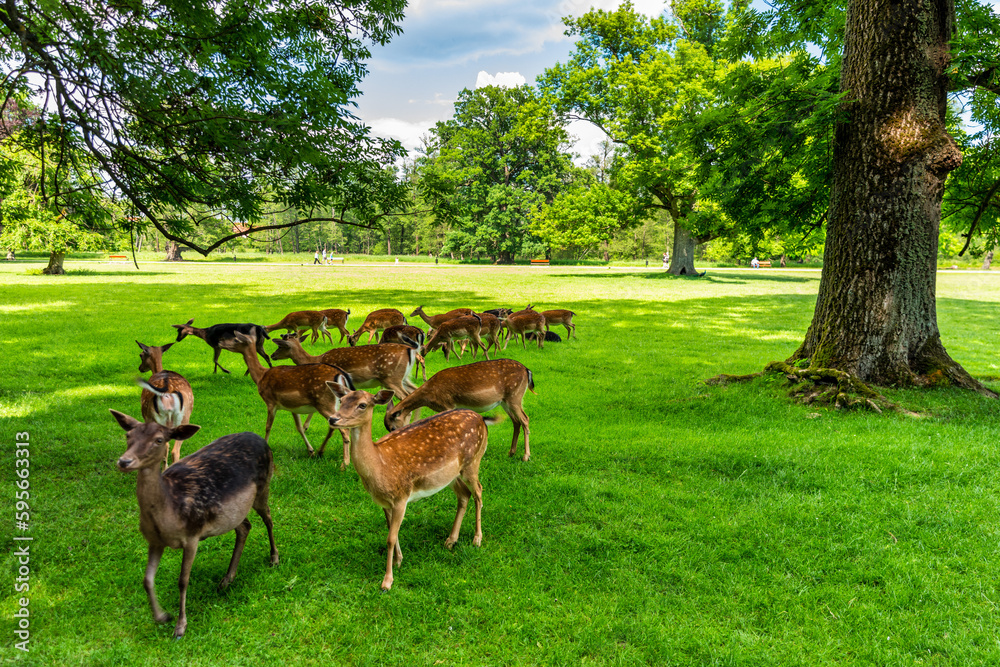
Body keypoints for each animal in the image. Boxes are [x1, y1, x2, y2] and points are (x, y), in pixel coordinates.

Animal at [110, 394, 278, 639]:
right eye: (128, 435)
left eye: (159, 440)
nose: (124, 461)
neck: (169, 512)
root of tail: (260, 439)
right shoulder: (154, 541)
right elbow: (147, 580)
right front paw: (162, 616)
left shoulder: (192, 535)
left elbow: (183, 580)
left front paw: (180, 627)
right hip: (233, 513)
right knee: (245, 527)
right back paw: (227, 579)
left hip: (264, 486)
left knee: (268, 518)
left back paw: (274, 558)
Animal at [218, 330, 356, 468]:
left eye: (236, 339)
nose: (220, 342)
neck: (260, 376)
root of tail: (342, 375)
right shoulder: (293, 407)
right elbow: (299, 427)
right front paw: (310, 451)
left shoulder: (270, 401)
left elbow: (268, 426)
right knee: (335, 426)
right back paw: (322, 452)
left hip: (324, 402)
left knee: (344, 429)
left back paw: (345, 463)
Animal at [270, 334, 417, 400]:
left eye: (280, 346)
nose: (272, 355)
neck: (316, 359)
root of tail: (411, 349)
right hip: (404, 377)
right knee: (414, 390)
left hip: (391, 377)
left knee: (405, 396)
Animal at [326, 383, 500, 591]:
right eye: (342, 400)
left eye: (362, 405)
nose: (333, 418)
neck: (379, 467)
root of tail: (481, 419)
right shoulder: (384, 503)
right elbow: (390, 532)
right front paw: (398, 561)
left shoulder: (401, 497)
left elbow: (390, 538)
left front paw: (387, 581)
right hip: (450, 475)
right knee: (464, 494)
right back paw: (450, 541)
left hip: (472, 461)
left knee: (478, 492)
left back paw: (477, 539)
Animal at [384, 359, 535, 461]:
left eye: (392, 427)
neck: (430, 395)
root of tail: (527, 370)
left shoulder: (447, 404)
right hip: (505, 401)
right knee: (516, 422)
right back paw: (511, 452)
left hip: (515, 396)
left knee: (525, 419)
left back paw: (525, 456)